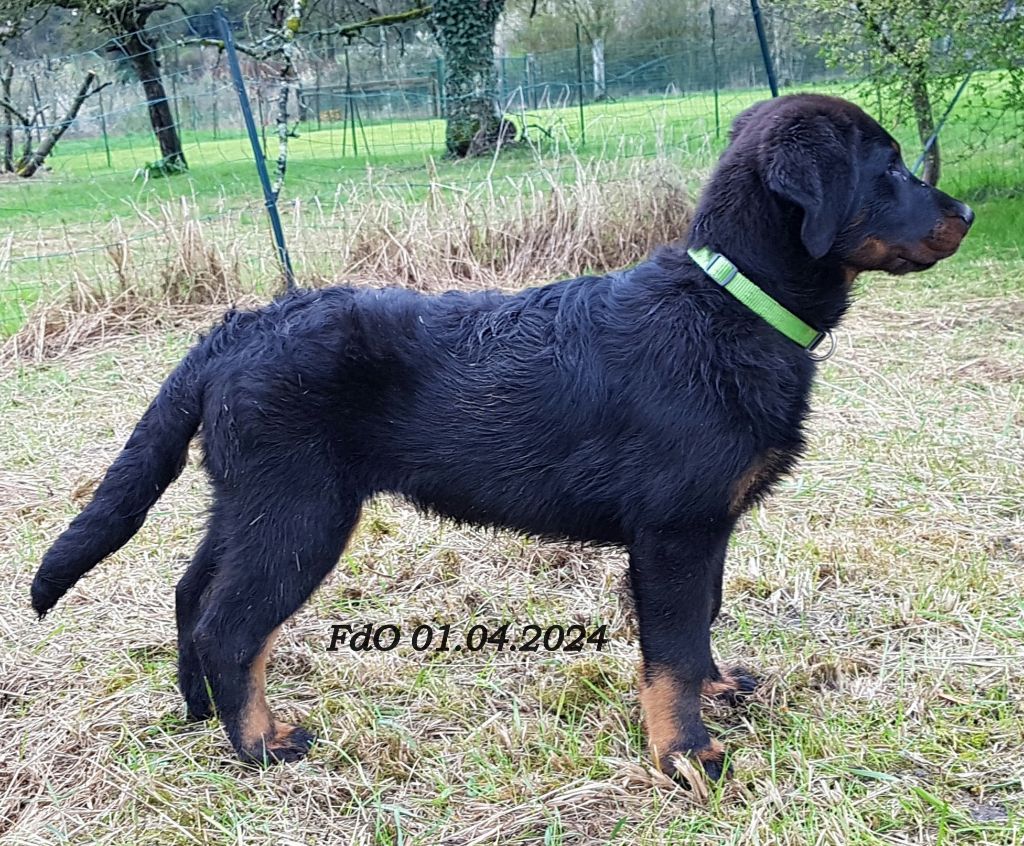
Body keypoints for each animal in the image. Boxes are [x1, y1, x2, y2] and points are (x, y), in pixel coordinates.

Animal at [31, 94, 973, 780]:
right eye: (890, 168)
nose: (963, 210)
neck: (728, 306)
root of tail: (240, 328)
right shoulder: (674, 530)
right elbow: (669, 647)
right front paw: (684, 753)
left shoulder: (705, 531)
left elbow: (700, 622)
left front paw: (715, 689)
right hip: (300, 511)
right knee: (232, 626)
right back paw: (262, 745)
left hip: (248, 500)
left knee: (193, 597)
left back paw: (199, 714)